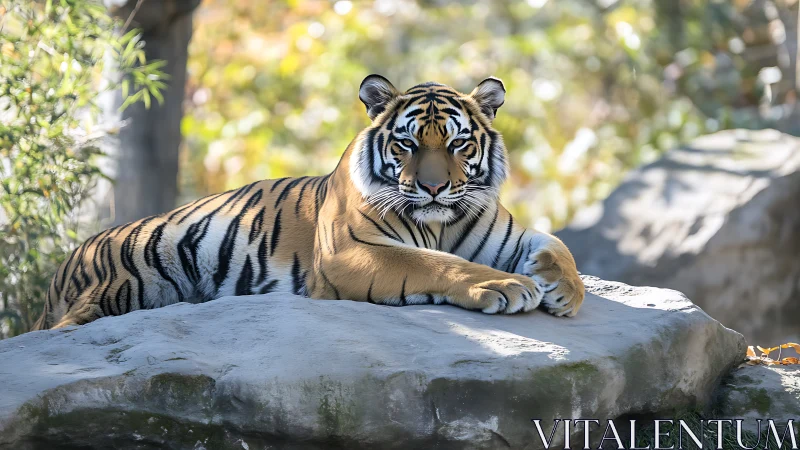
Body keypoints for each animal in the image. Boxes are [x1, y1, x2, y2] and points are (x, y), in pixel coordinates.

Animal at [33, 75, 584, 331]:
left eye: (457, 144)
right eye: (407, 144)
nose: (431, 188)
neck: (441, 221)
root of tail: (63, 265)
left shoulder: (505, 234)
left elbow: (557, 246)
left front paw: (565, 292)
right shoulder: (350, 252)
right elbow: (435, 263)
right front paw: (508, 286)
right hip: (124, 283)